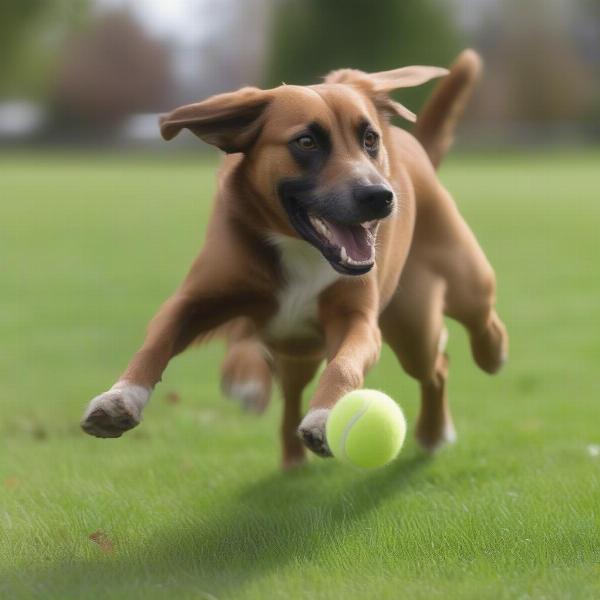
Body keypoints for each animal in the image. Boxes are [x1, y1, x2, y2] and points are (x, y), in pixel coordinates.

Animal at [82, 49, 508, 466]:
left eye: (370, 139)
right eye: (306, 142)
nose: (380, 196)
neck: (300, 247)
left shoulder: (357, 320)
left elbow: (344, 364)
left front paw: (325, 416)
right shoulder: (199, 299)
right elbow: (159, 340)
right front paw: (120, 398)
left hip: (436, 302)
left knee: (450, 348)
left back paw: (477, 374)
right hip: (302, 349)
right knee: (295, 388)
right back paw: (291, 451)